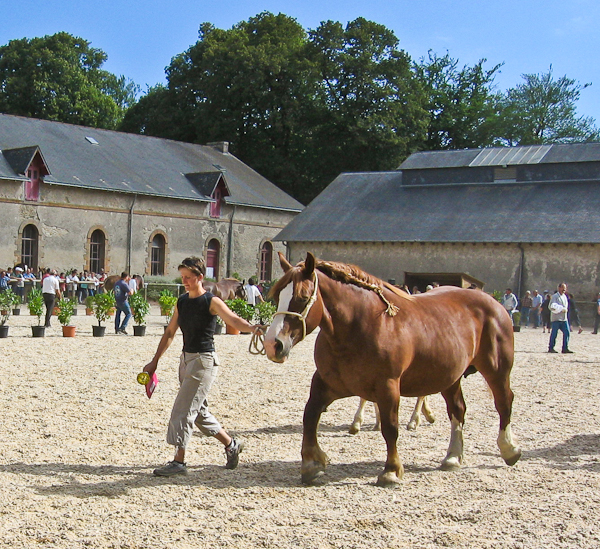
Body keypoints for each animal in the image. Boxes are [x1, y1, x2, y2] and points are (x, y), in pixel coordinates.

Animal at [264, 250, 520, 486]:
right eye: (276, 295)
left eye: (302, 297)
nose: (272, 344)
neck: (360, 326)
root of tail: (493, 302)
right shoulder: (328, 383)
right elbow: (310, 415)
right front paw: (312, 464)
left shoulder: (388, 386)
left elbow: (390, 427)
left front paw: (391, 470)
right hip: (450, 377)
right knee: (458, 409)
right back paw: (453, 457)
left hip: (497, 370)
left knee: (504, 402)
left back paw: (509, 449)